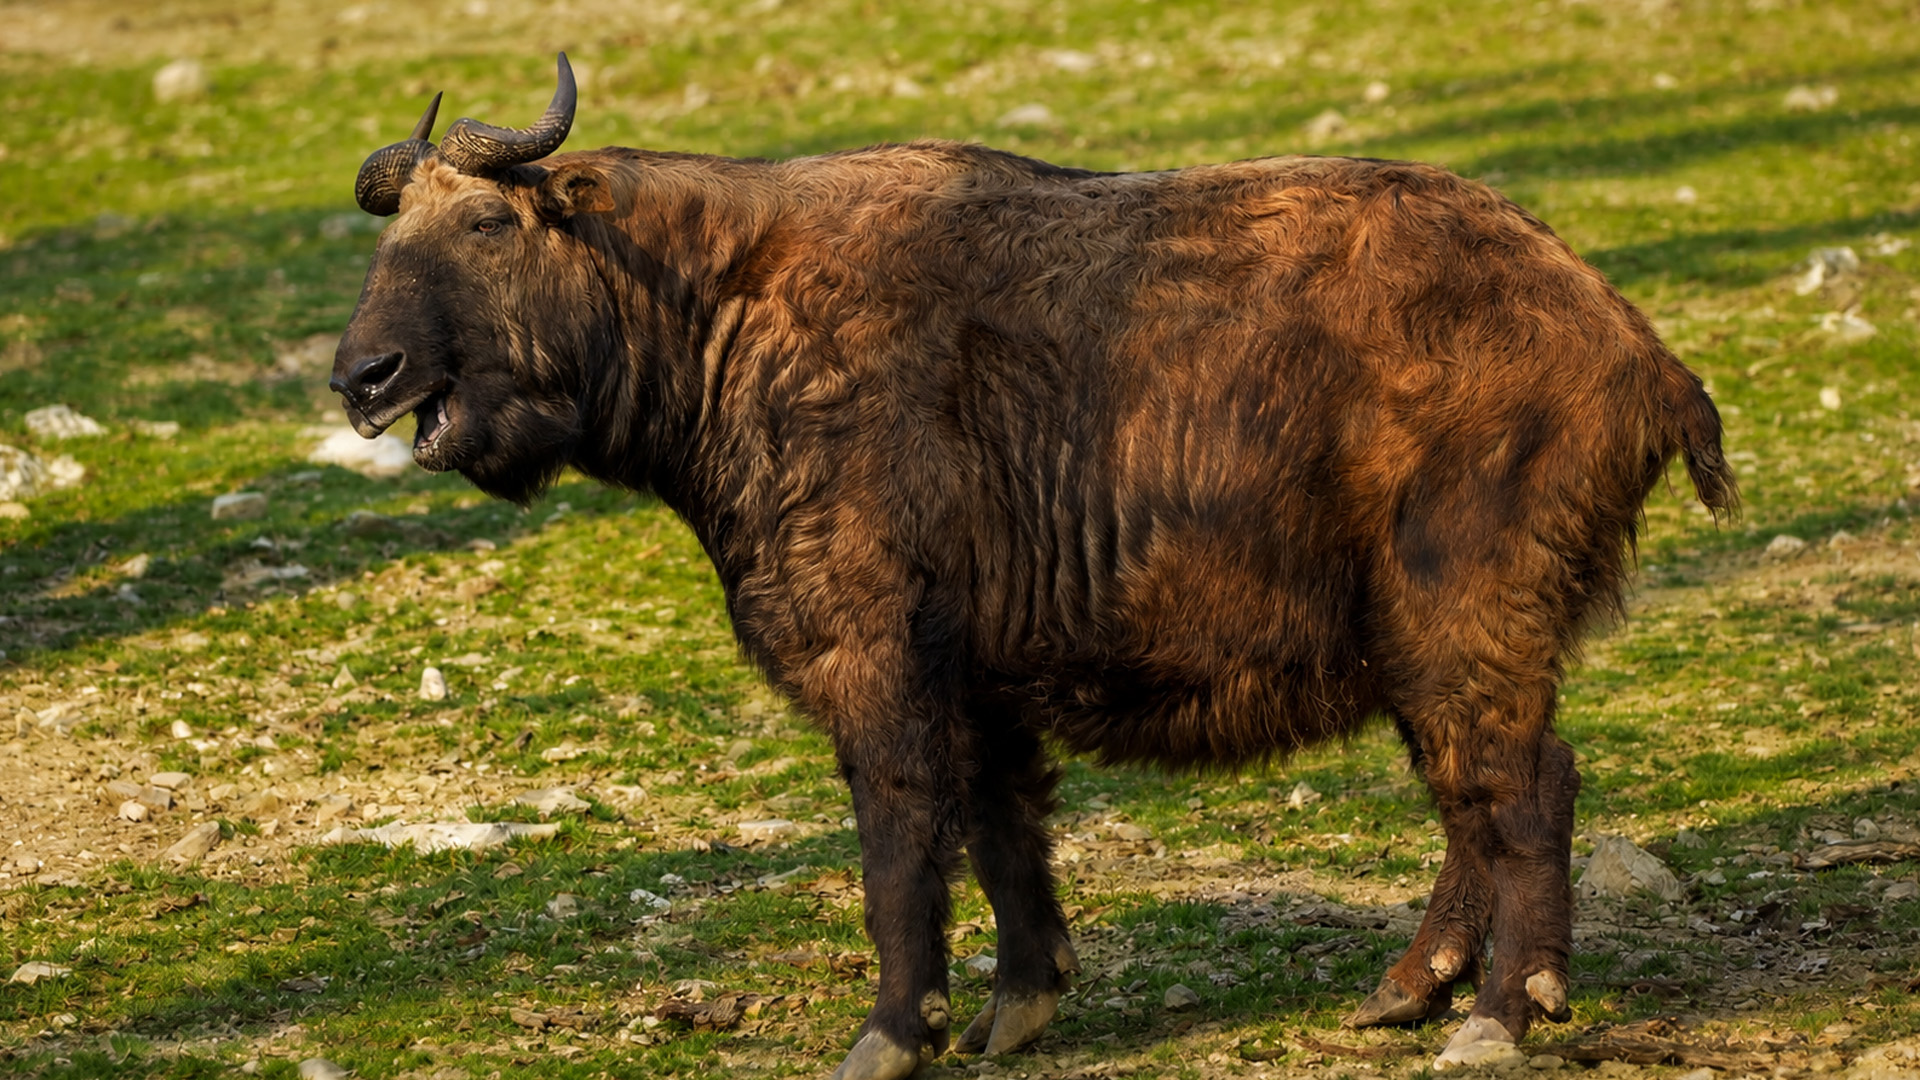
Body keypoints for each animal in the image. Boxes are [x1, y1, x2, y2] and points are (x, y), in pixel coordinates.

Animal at [332, 54, 1736, 1080]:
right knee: (1470, 800)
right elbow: (1007, 834)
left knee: (1526, 790)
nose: (363, 378)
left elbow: (903, 845)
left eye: (485, 222)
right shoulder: (982, 680)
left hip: (1464, 613)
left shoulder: (879, 661)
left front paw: (892, 1035)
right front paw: (1019, 1006)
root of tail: (1631, 340)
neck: (730, 311)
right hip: (1415, 642)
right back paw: (1406, 992)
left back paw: (1502, 1014)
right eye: (390, 241)